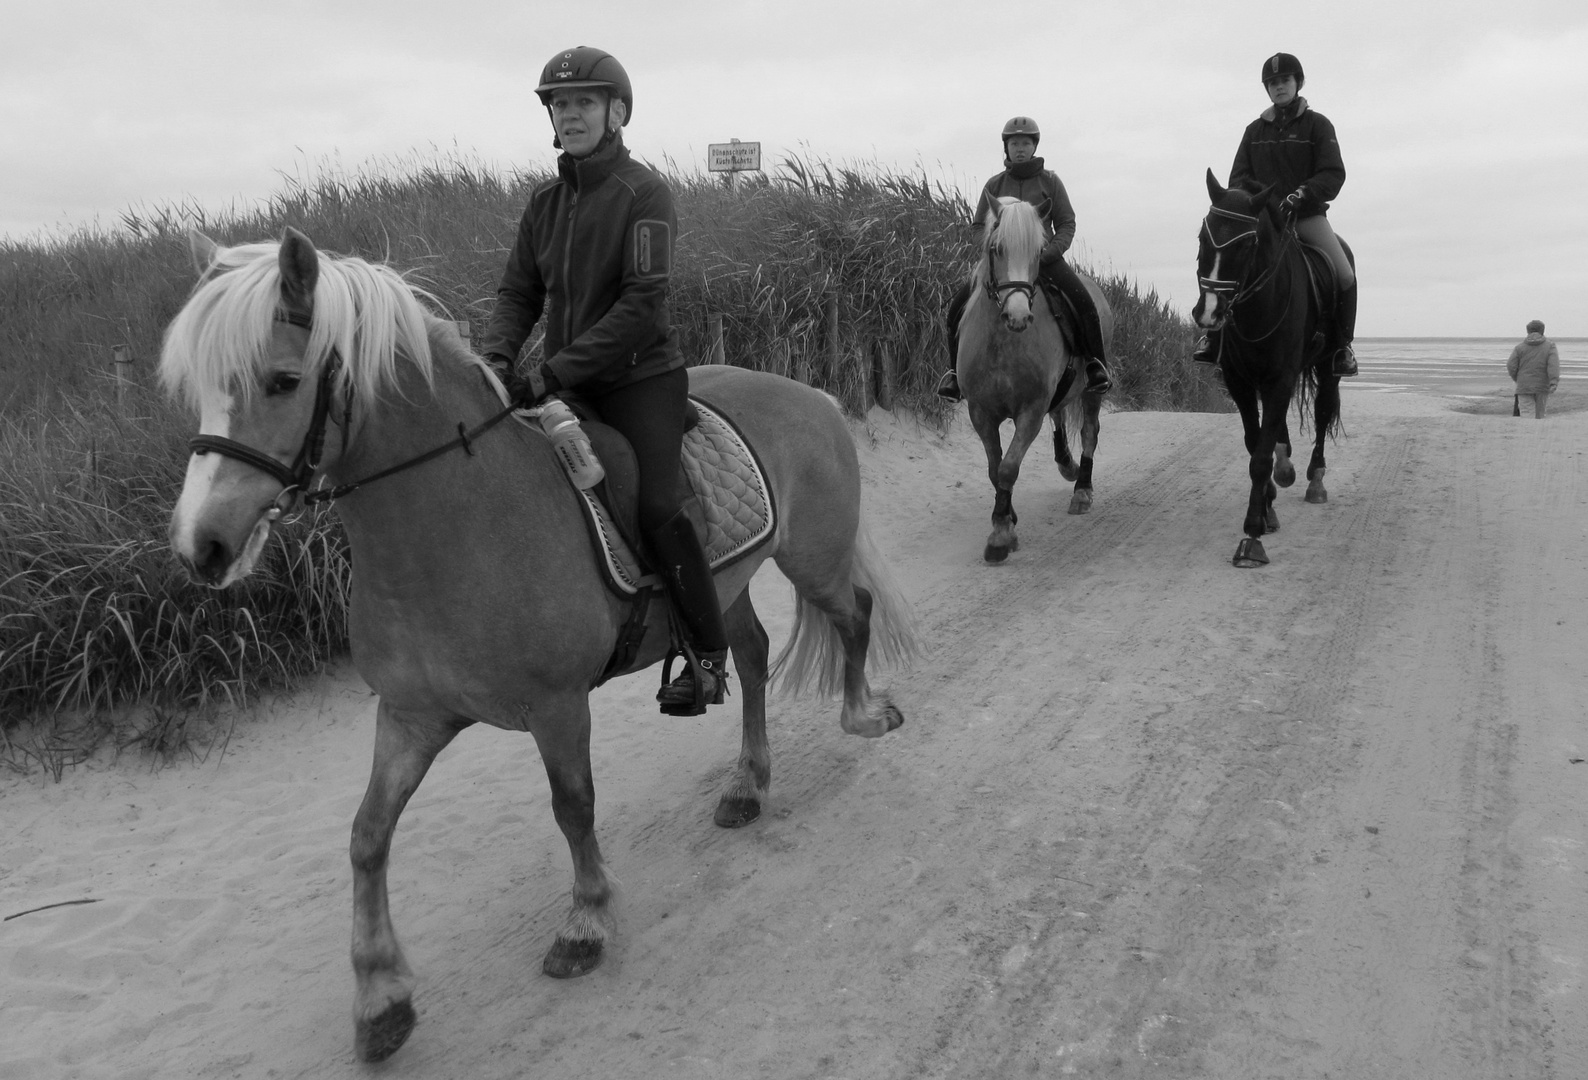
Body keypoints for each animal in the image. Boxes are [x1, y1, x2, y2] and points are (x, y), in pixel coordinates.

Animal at [952, 196, 1117, 565]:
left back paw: (1081, 490)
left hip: (1091, 393)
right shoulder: (980, 413)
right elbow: (994, 468)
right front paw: (1007, 517)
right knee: (1059, 417)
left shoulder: (1029, 410)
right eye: (996, 249)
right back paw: (1067, 465)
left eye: (1038, 252)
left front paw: (1000, 535)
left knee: (1089, 432)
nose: (1018, 317)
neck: (1003, 342)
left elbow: (1008, 468)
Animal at [1194, 168, 1340, 565]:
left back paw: (1315, 479)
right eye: (1202, 237)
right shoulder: (1240, 382)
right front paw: (1267, 508)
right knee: (1278, 436)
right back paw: (1285, 470)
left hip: (1328, 367)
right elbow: (1254, 442)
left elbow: (1260, 455)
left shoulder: (1281, 378)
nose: (1209, 313)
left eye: (1246, 246)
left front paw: (1252, 535)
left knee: (1323, 412)